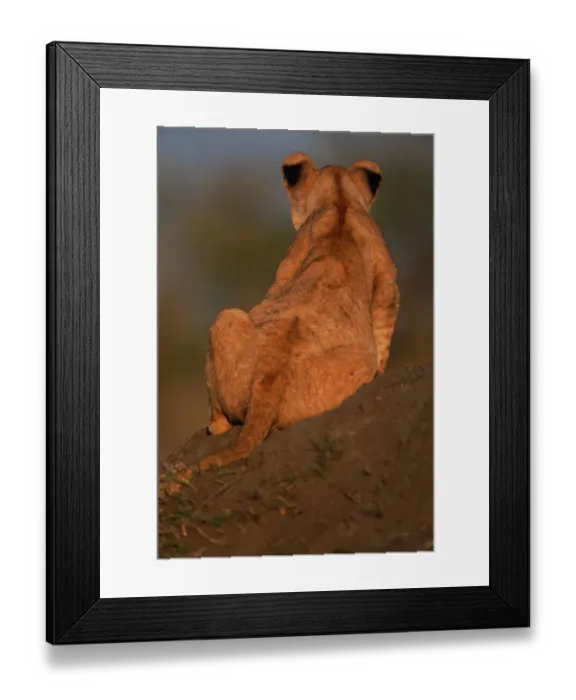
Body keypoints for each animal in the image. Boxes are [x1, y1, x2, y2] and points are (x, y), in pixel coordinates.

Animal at [199, 152, 400, 470]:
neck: (340, 199)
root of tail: (271, 371)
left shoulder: (291, 263)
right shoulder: (386, 276)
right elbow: (384, 324)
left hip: (225, 318)